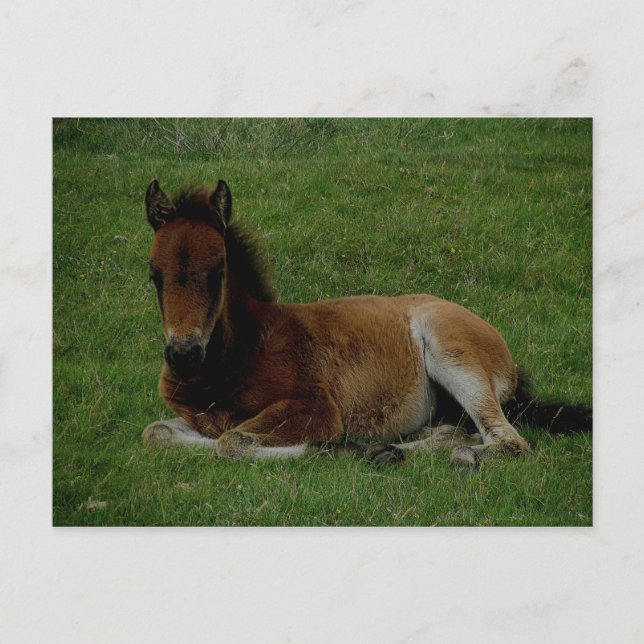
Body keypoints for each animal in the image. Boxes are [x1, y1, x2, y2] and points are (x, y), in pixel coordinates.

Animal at [141, 179, 592, 466]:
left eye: (218, 271)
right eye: (153, 274)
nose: (183, 355)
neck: (244, 350)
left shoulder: (315, 410)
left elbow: (230, 441)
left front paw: (329, 448)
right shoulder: (198, 419)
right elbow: (157, 433)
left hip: (451, 352)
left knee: (506, 441)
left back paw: (395, 452)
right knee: (458, 431)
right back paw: (397, 447)